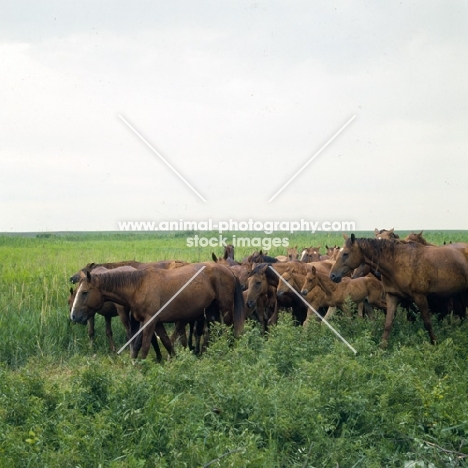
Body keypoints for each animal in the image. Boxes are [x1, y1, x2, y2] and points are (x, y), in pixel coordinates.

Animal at [70, 264, 247, 358]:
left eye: (84, 292)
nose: (74, 316)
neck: (138, 286)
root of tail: (229, 270)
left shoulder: (149, 322)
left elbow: (145, 346)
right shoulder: (156, 322)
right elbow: (166, 342)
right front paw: (173, 360)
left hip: (225, 310)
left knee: (229, 330)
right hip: (210, 312)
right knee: (210, 333)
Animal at [330, 234, 468, 348]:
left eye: (345, 254)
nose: (332, 275)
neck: (398, 263)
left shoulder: (420, 297)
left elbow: (427, 323)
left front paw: (435, 343)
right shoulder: (393, 297)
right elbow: (388, 324)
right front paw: (382, 348)